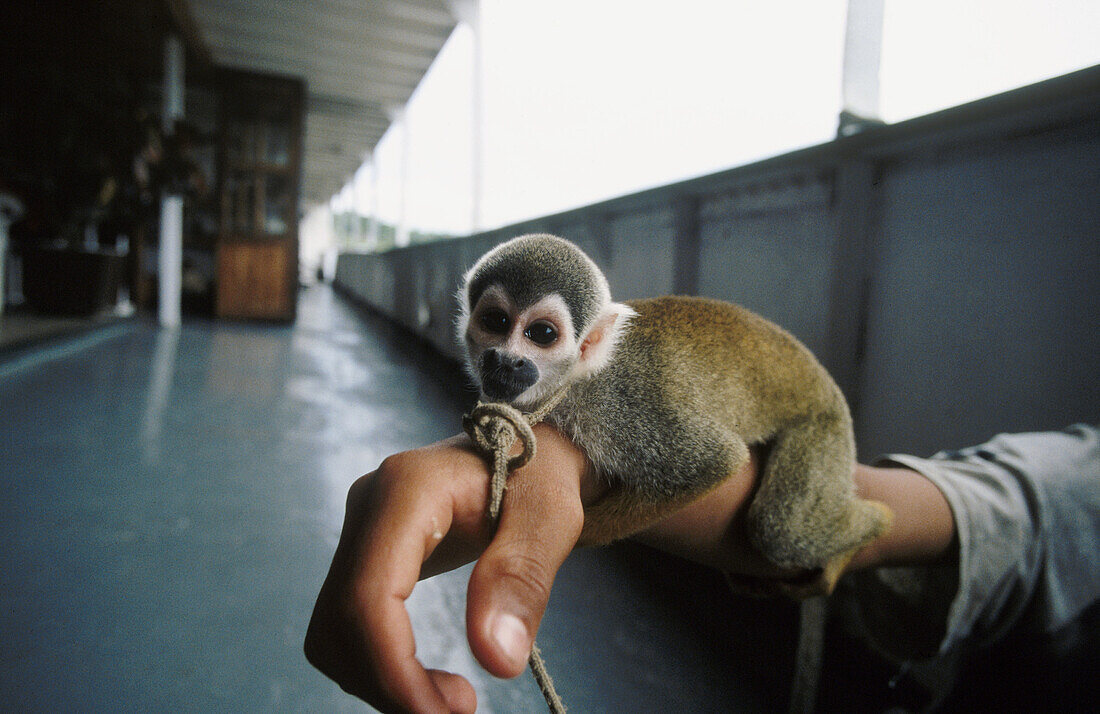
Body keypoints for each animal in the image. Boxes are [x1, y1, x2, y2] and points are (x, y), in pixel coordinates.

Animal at [455, 234, 893, 594]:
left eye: (541, 334)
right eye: (496, 321)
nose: (507, 361)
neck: (576, 381)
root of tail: (821, 378)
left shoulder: (623, 408)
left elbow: (715, 460)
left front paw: (584, 535)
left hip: (825, 427)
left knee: (781, 529)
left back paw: (877, 522)